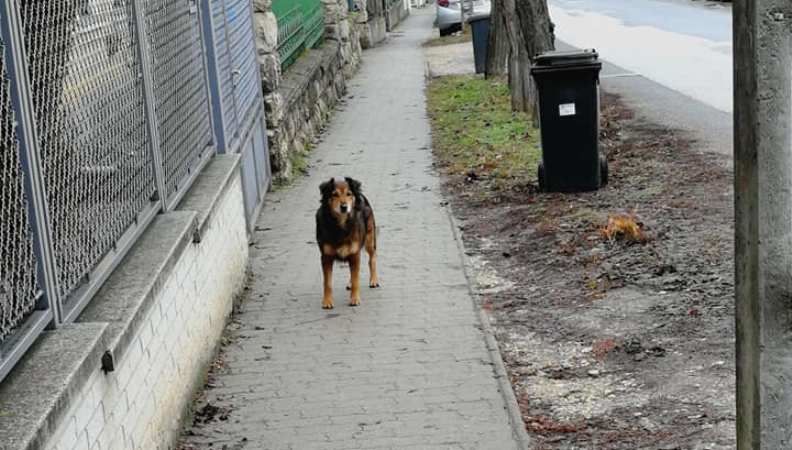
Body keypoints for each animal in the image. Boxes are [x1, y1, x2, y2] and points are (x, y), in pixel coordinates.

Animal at [316, 177, 378, 310]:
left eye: (349, 194)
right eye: (334, 194)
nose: (344, 207)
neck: (340, 225)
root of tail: (360, 195)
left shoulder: (355, 254)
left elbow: (356, 280)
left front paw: (354, 299)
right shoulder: (326, 257)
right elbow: (327, 282)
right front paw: (327, 301)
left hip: (369, 239)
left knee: (372, 258)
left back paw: (374, 280)